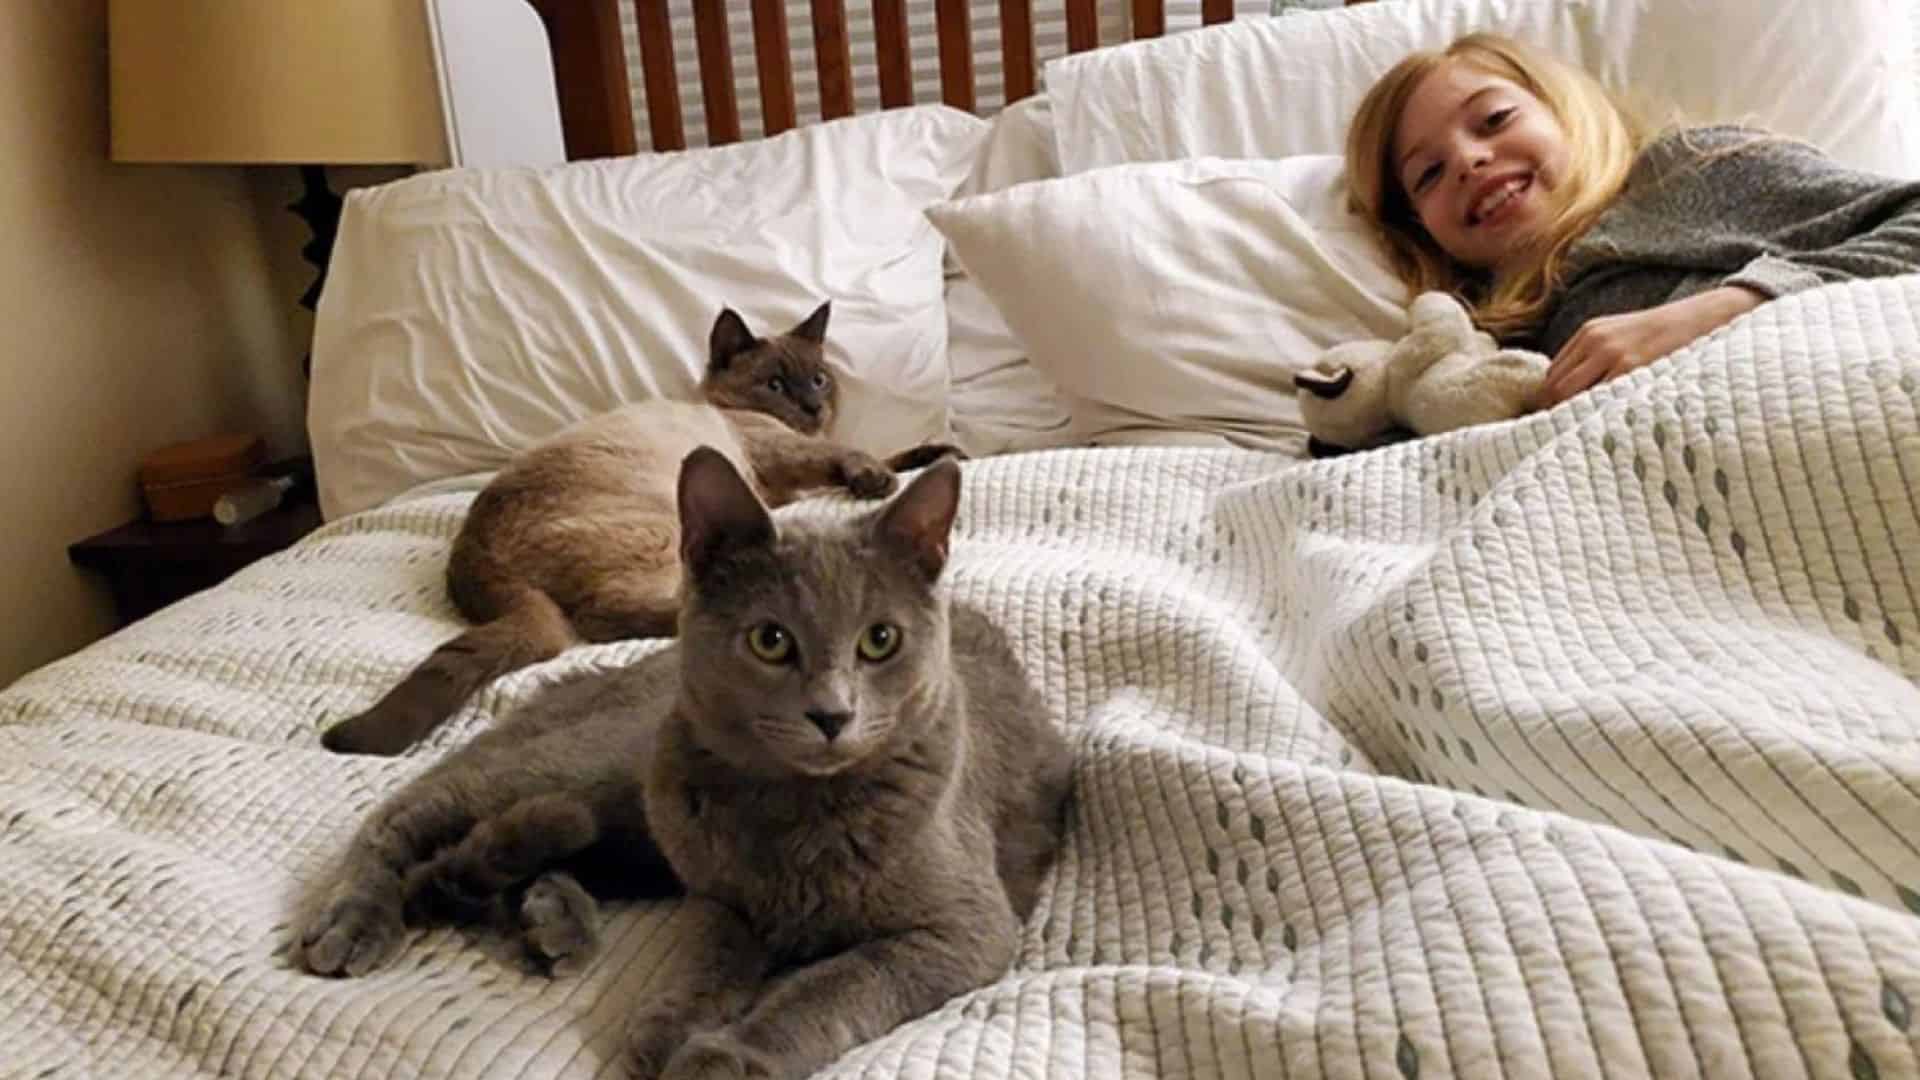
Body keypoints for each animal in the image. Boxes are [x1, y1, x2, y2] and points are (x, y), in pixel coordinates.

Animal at [299, 445, 1082, 1076]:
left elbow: (833, 987)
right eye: (770, 640)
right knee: (408, 811)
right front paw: (677, 1027)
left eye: (880, 640)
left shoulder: (960, 931)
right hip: (601, 770)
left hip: (633, 833)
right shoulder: (718, 894)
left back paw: (551, 919)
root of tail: (593, 673)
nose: (832, 714)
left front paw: (720, 1053)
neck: (797, 816)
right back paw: (358, 921)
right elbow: (716, 953)